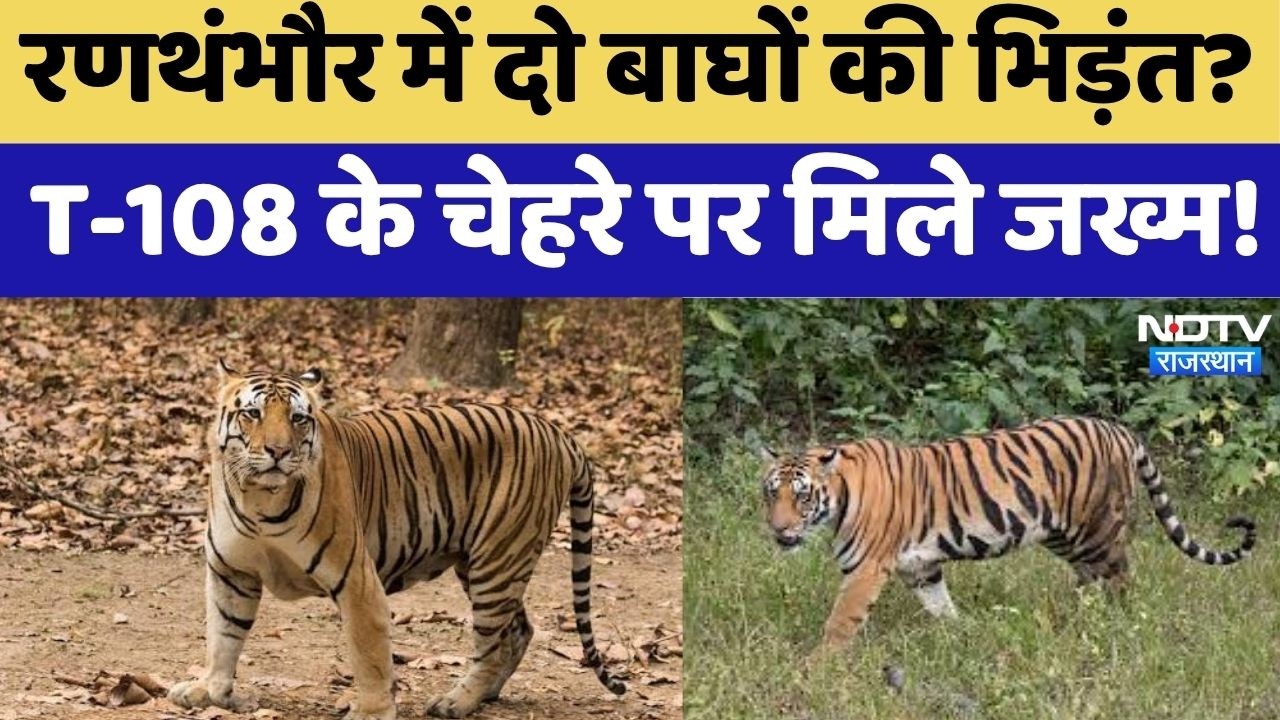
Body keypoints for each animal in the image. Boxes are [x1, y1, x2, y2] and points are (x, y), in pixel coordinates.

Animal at [168, 363, 625, 720]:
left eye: (298, 418)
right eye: (252, 413)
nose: (278, 452)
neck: (258, 497)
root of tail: (558, 432)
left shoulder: (356, 580)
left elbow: (369, 653)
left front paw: (372, 711)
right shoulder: (231, 572)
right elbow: (223, 636)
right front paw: (210, 690)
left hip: (498, 560)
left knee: (493, 642)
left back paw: (457, 701)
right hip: (481, 563)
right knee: (518, 631)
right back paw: (487, 695)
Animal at [760, 416, 1256, 651]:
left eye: (802, 497)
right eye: (770, 493)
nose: (778, 529)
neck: (839, 498)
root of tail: (1119, 429)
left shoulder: (865, 569)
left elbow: (840, 621)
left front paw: (816, 666)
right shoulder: (921, 567)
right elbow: (941, 606)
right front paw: (961, 634)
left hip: (1099, 528)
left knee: (1120, 579)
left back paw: (1118, 624)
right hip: (1065, 535)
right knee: (1090, 578)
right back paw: (1076, 620)